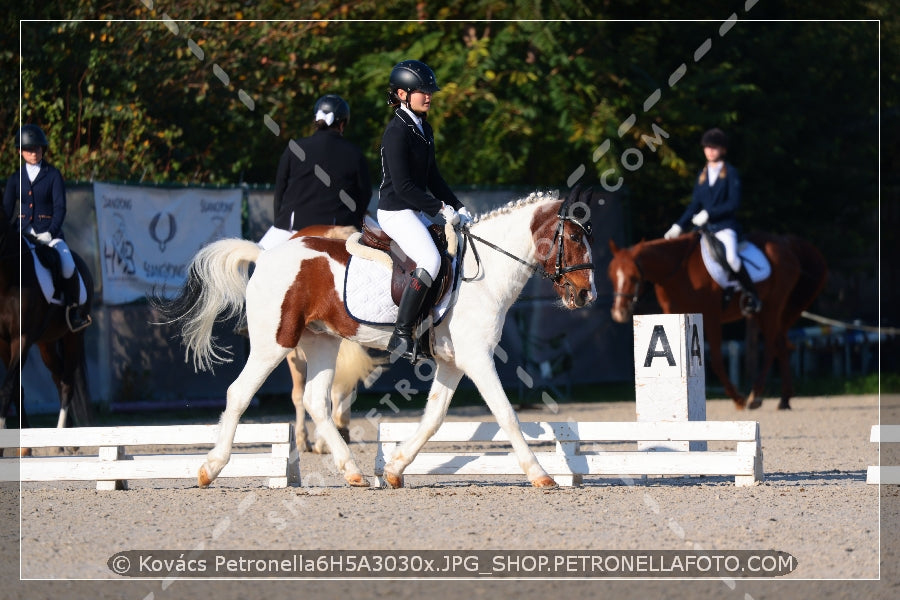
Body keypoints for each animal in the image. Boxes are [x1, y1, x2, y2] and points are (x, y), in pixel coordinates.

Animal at [155, 190, 596, 490]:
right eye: (573, 238)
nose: (586, 295)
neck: (481, 273)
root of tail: (266, 256)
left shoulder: (453, 362)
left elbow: (434, 418)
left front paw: (395, 467)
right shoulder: (478, 359)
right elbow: (505, 414)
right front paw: (541, 474)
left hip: (322, 342)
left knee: (316, 401)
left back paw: (352, 471)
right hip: (274, 343)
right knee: (239, 393)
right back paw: (210, 468)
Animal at [608, 232, 828, 410]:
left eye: (634, 277)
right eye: (611, 276)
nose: (619, 313)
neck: (678, 272)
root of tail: (785, 242)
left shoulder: (710, 316)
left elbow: (715, 359)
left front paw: (738, 399)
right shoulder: (672, 314)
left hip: (771, 307)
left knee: (771, 347)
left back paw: (755, 396)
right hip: (764, 312)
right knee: (780, 345)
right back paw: (784, 400)